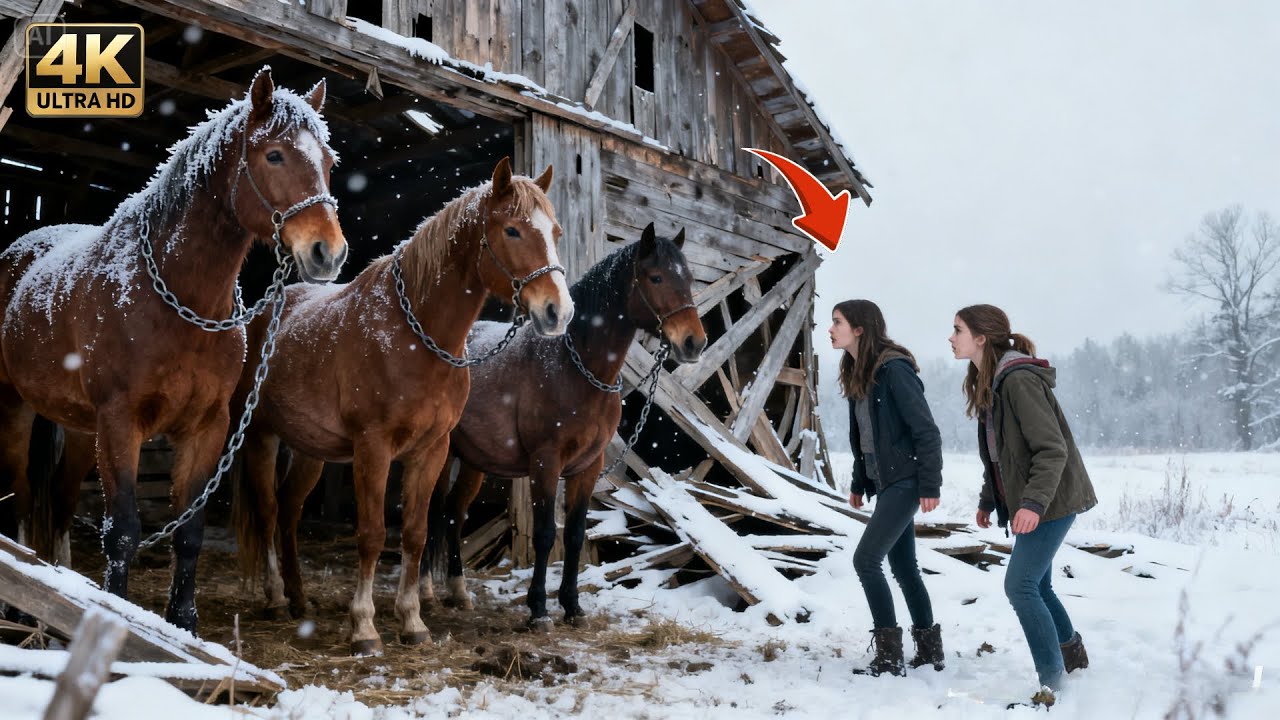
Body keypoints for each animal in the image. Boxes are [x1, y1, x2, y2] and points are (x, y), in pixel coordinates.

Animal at [0, 67, 347, 633]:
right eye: (273, 155)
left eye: (329, 162)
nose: (328, 253)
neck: (180, 301)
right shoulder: (121, 422)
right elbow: (122, 530)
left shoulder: (207, 427)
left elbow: (189, 532)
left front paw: (183, 623)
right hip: (15, 407)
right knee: (21, 496)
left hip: (80, 430)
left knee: (59, 500)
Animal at [232, 157, 573, 655]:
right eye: (512, 230)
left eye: (556, 231)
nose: (558, 312)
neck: (414, 336)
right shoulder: (372, 449)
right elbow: (373, 535)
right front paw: (364, 628)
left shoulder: (431, 450)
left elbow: (414, 532)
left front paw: (412, 621)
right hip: (260, 436)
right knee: (269, 510)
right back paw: (277, 598)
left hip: (311, 449)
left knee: (290, 511)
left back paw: (298, 599)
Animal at [428, 222, 706, 627]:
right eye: (656, 277)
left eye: (688, 279)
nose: (694, 343)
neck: (576, 366)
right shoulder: (545, 462)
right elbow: (546, 534)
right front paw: (538, 609)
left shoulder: (588, 466)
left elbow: (575, 534)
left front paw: (572, 606)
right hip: (442, 453)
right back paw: (424, 590)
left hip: (473, 461)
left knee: (453, 513)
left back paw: (458, 591)